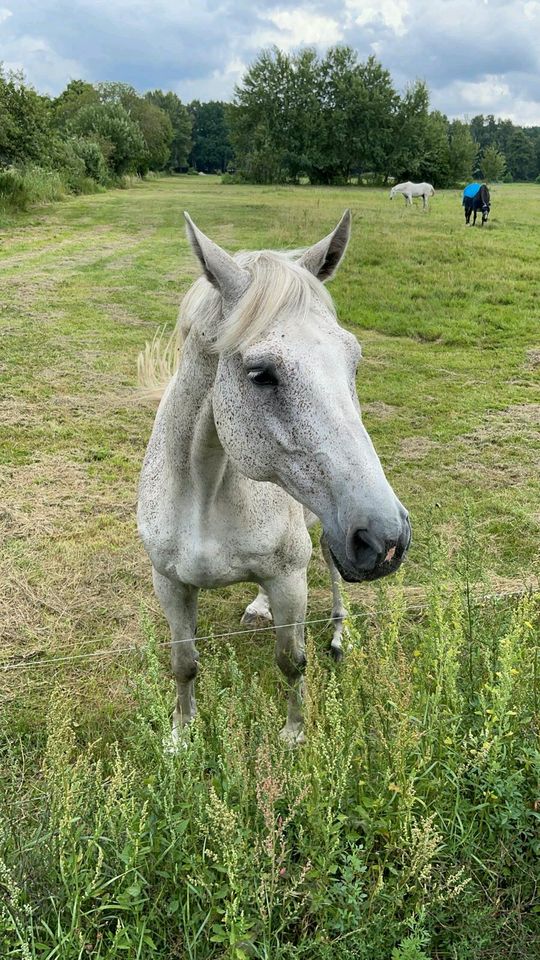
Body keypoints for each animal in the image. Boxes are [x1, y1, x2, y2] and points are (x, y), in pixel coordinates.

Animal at [137, 214, 412, 748]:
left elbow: (291, 661)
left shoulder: (290, 579)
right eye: (261, 374)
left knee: (331, 567)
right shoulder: (170, 584)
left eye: (353, 359)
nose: (387, 539)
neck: (204, 493)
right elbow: (183, 663)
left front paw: (294, 735)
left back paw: (338, 633)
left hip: (327, 530)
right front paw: (181, 736)